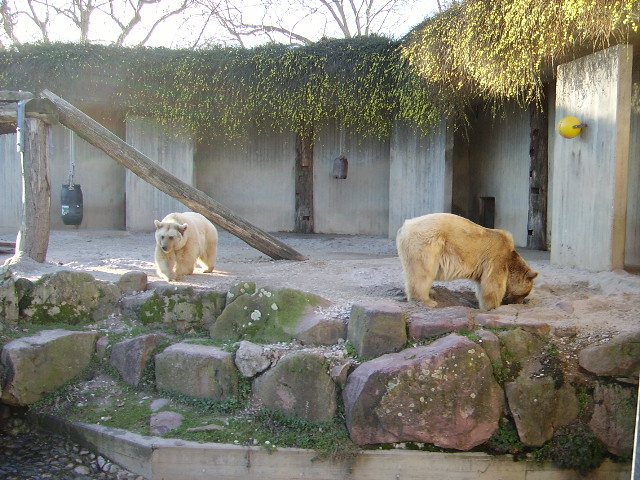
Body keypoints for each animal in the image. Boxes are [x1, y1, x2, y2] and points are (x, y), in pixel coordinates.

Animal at [398, 212, 536, 310]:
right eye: (524, 294)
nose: (518, 303)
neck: (511, 257)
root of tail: (405, 227)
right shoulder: (497, 258)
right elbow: (492, 286)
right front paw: (492, 307)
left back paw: (431, 291)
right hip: (427, 244)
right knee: (422, 272)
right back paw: (427, 301)